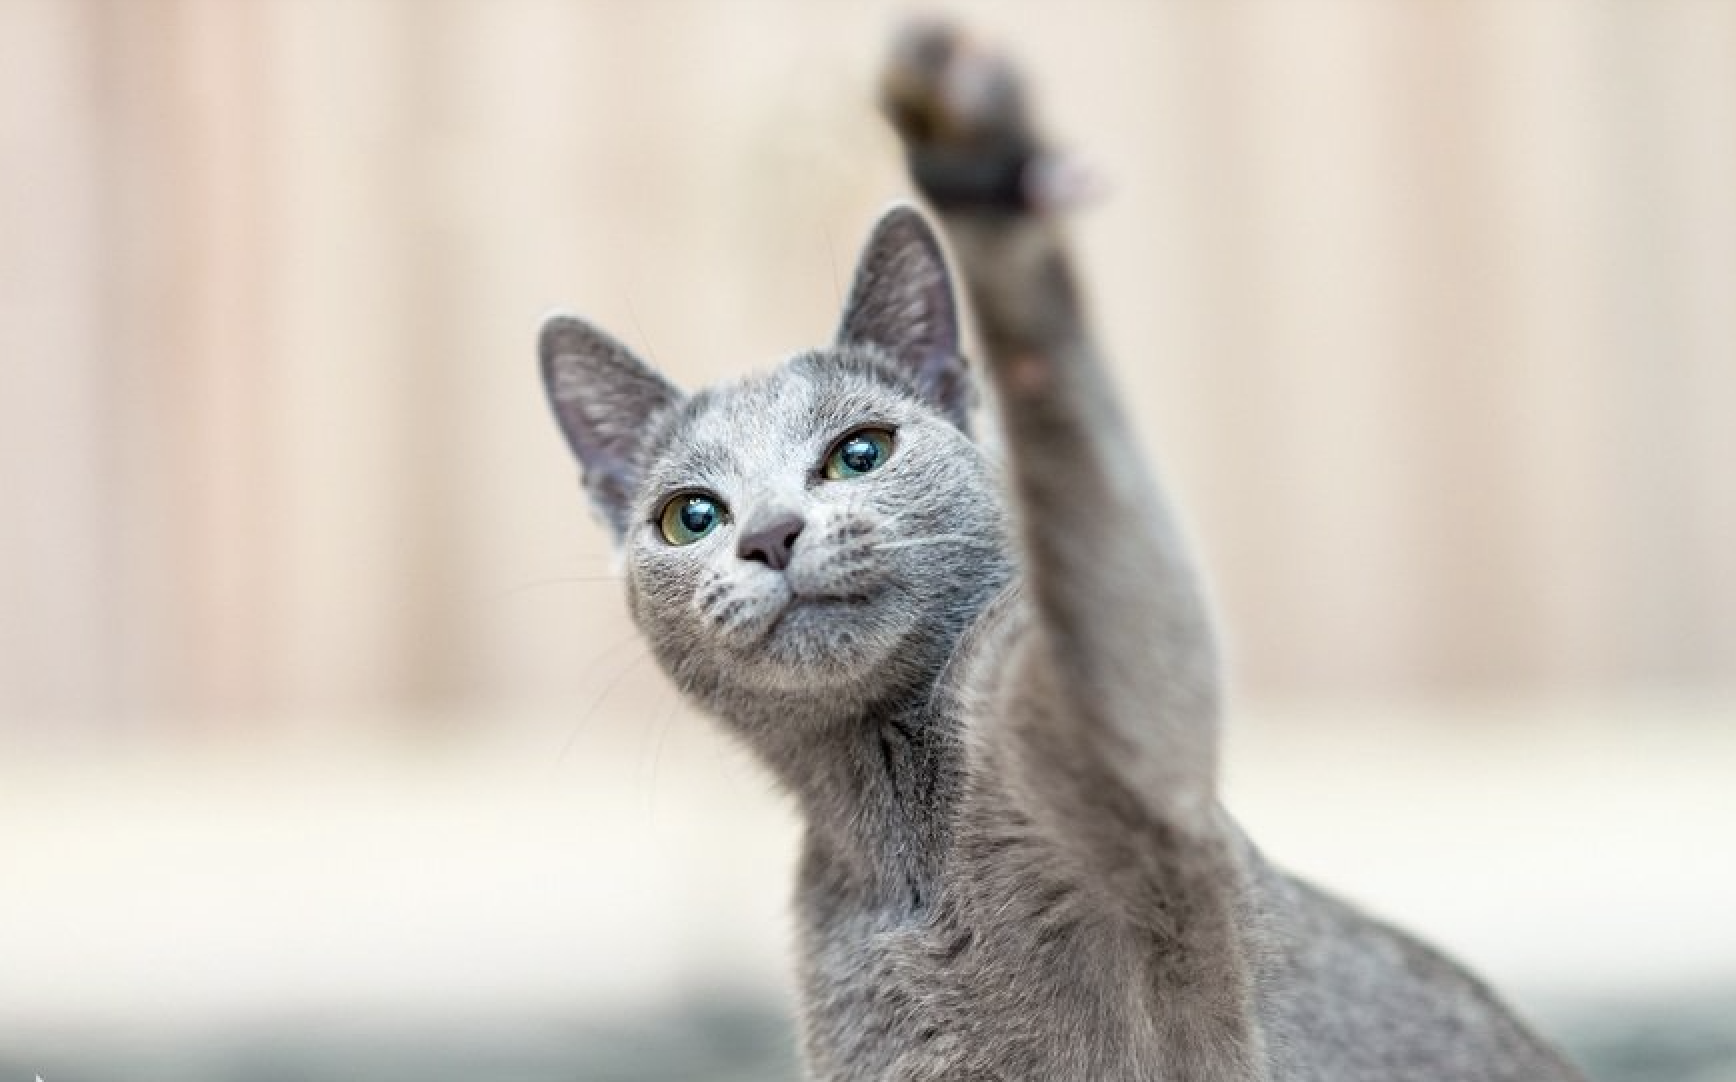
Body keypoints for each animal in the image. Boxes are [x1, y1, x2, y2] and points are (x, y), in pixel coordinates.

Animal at [538, 16, 1590, 1082]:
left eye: (860, 453)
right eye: (691, 518)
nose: (768, 534)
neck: (900, 840)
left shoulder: (1138, 797)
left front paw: (977, 162)